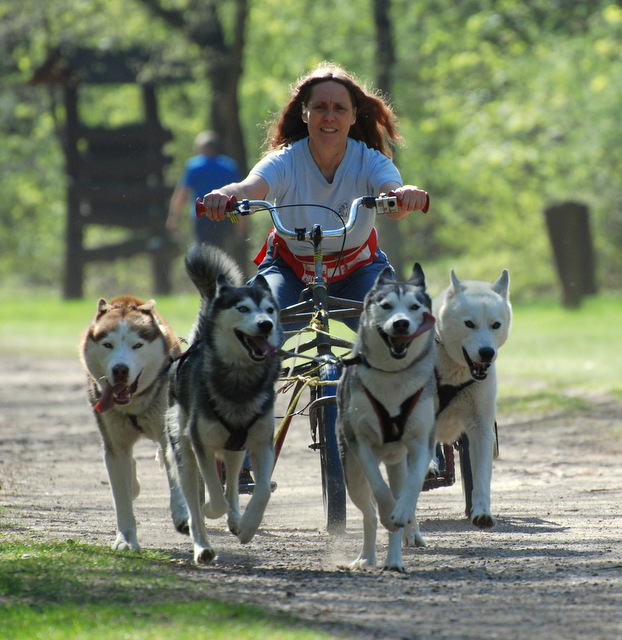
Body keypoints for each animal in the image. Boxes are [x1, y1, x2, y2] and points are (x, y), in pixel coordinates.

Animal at [80, 296, 188, 551]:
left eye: (137, 345)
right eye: (108, 345)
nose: (120, 369)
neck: (134, 406)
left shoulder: (169, 434)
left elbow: (175, 474)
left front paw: (182, 513)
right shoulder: (115, 445)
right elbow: (122, 497)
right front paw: (126, 539)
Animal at [167, 244, 282, 565]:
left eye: (269, 310)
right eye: (243, 308)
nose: (266, 324)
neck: (240, 382)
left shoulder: (261, 443)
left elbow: (261, 491)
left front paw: (247, 527)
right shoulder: (202, 445)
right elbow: (212, 499)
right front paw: (209, 511)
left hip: (235, 450)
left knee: (231, 486)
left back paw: (235, 519)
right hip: (185, 451)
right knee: (195, 498)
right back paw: (202, 546)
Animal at [336, 264, 437, 573]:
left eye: (414, 307)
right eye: (386, 305)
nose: (401, 323)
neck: (393, 376)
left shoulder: (422, 441)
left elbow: (412, 486)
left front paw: (401, 512)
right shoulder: (360, 443)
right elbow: (379, 490)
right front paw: (388, 509)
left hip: (398, 463)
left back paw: (394, 560)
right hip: (351, 473)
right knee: (368, 512)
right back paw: (368, 556)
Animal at [433, 269, 511, 529]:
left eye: (495, 325)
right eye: (469, 323)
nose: (487, 353)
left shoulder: (481, 428)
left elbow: (482, 477)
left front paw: (482, 512)